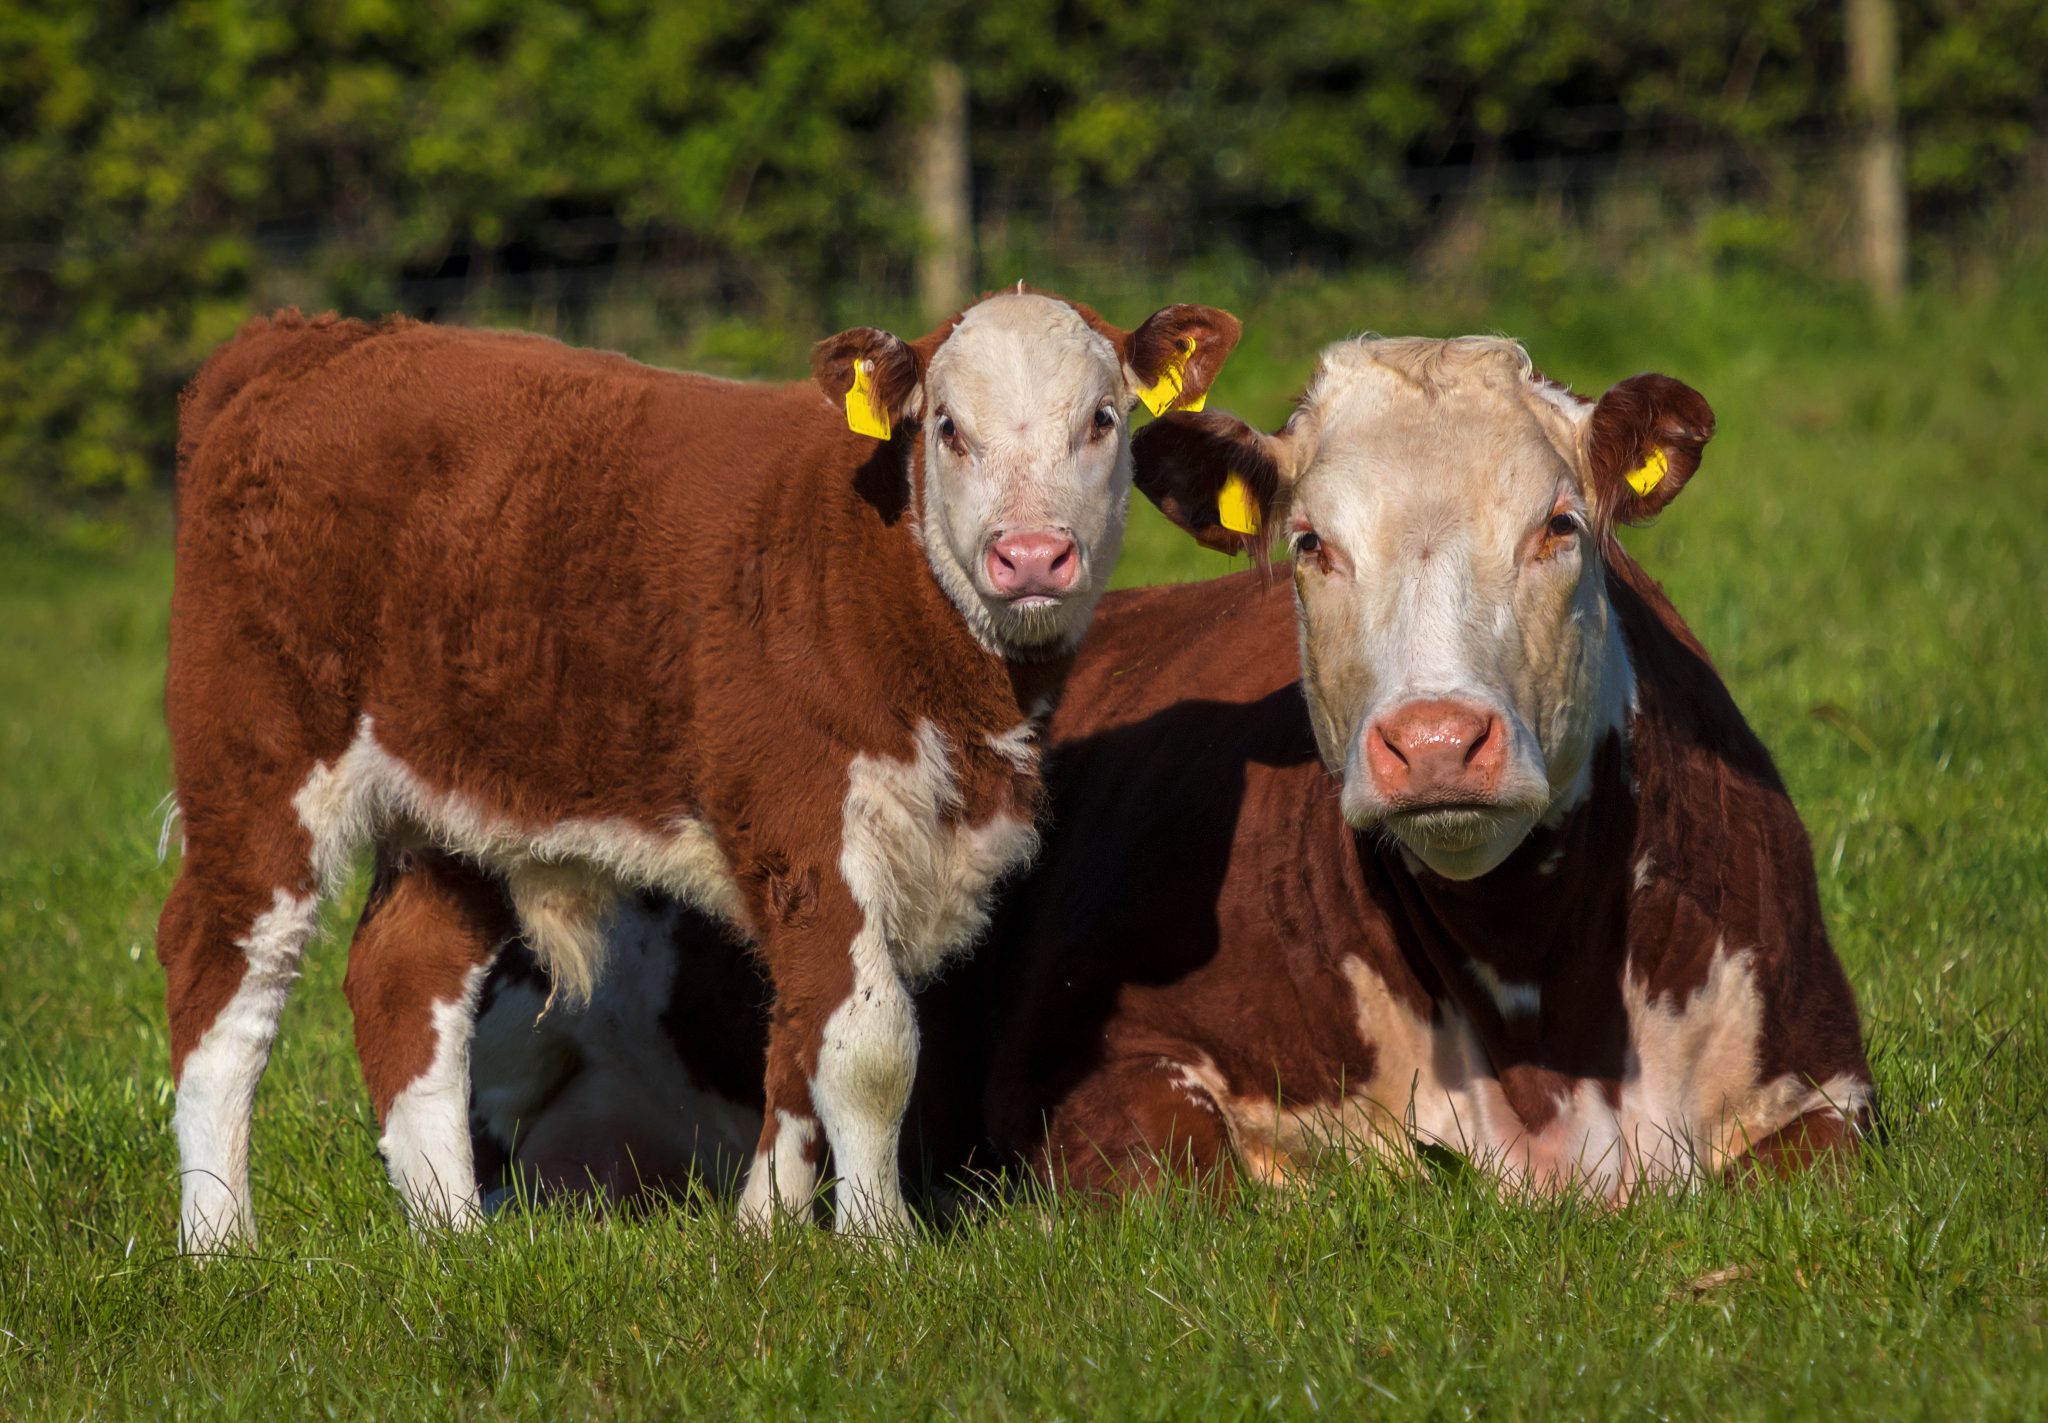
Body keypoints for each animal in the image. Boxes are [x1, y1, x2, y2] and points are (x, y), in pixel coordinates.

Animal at [155, 288, 1228, 1244]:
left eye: (1101, 419)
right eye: (949, 428)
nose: (1033, 555)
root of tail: (302, 342)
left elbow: (798, 1036)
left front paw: (765, 1228)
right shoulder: (807, 817)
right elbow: (866, 1045)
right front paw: (878, 1241)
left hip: (449, 791)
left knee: (405, 972)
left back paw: (452, 1234)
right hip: (257, 758)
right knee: (224, 973)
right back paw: (220, 1239)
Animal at [432, 333, 1875, 1212]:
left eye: (1558, 525)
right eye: (1310, 542)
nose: (1432, 741)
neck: (1531, 1003)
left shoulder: (1826, 1086)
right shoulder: (1088, 1073)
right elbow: (1223, 1172)